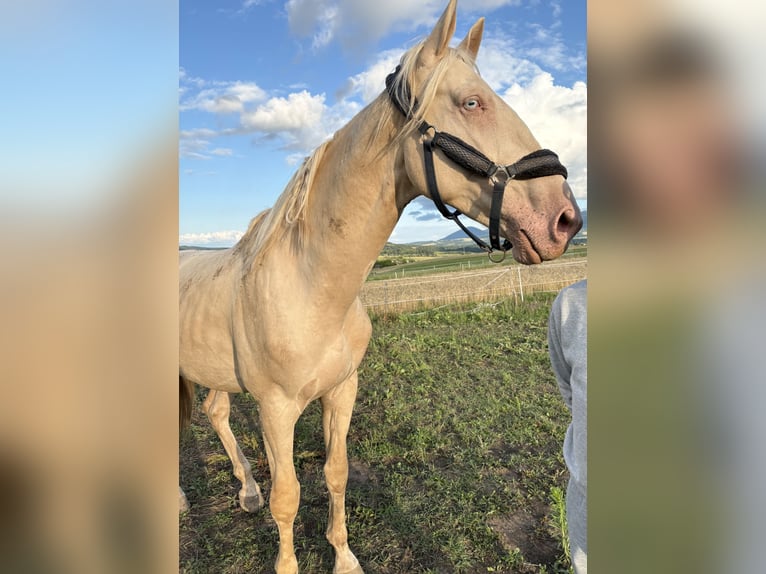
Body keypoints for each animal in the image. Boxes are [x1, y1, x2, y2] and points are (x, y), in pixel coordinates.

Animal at [179, 1, 582, 572]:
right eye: (472, 102)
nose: (566, 220)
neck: (313, 289)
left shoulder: (341, 391)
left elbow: (336, 473)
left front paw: (344, 556)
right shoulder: (275, 410)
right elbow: (289, 497)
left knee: (215, 412)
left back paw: (247, 490)